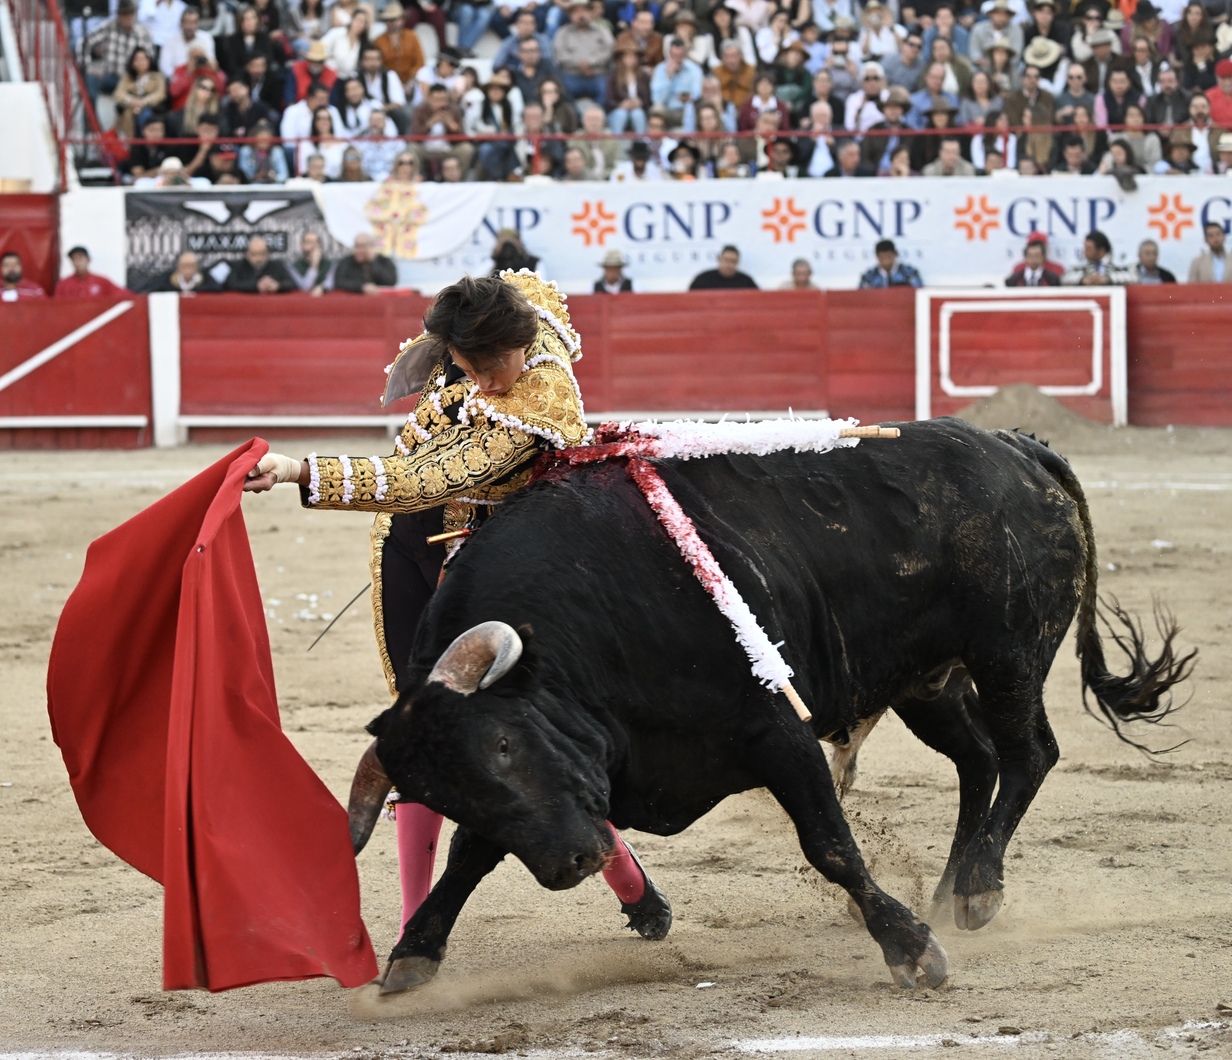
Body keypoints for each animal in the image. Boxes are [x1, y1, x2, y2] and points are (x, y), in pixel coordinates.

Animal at [347, 418, 1193, 994]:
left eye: (501, 747)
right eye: (441, 793)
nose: (572, 865)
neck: (587, 616)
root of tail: (1015, 446)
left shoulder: (774, 733)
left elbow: (830, 844)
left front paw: (910, 950)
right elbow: (470, 854)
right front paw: (413, 954)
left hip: (1009, 652)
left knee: (1028, 752)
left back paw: (980, 889)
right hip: (925, 682)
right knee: (979, 759)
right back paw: (955, 887)